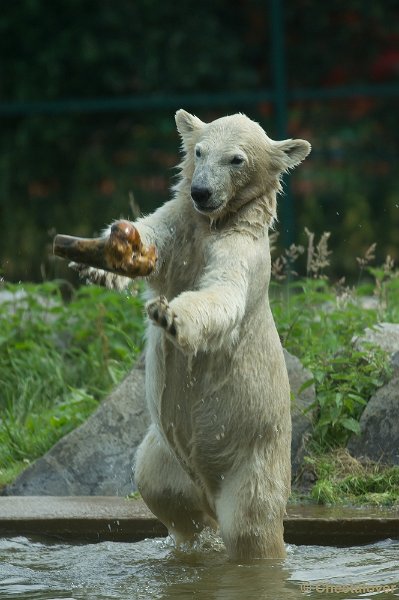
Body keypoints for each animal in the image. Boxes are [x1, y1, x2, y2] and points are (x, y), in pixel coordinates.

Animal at [76, 109, 312, 564]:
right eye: (199, 151)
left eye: (236, 159)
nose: (201, 191)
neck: (215, 223)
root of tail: (209, 491)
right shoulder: (181, 224)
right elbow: (150, 235)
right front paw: (101, 259)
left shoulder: (241, 250)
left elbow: (223, 292)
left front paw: (170, 316)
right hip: (164, 455)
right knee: (166, 496)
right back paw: (192, 543)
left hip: (253, 461)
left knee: (252, 529)